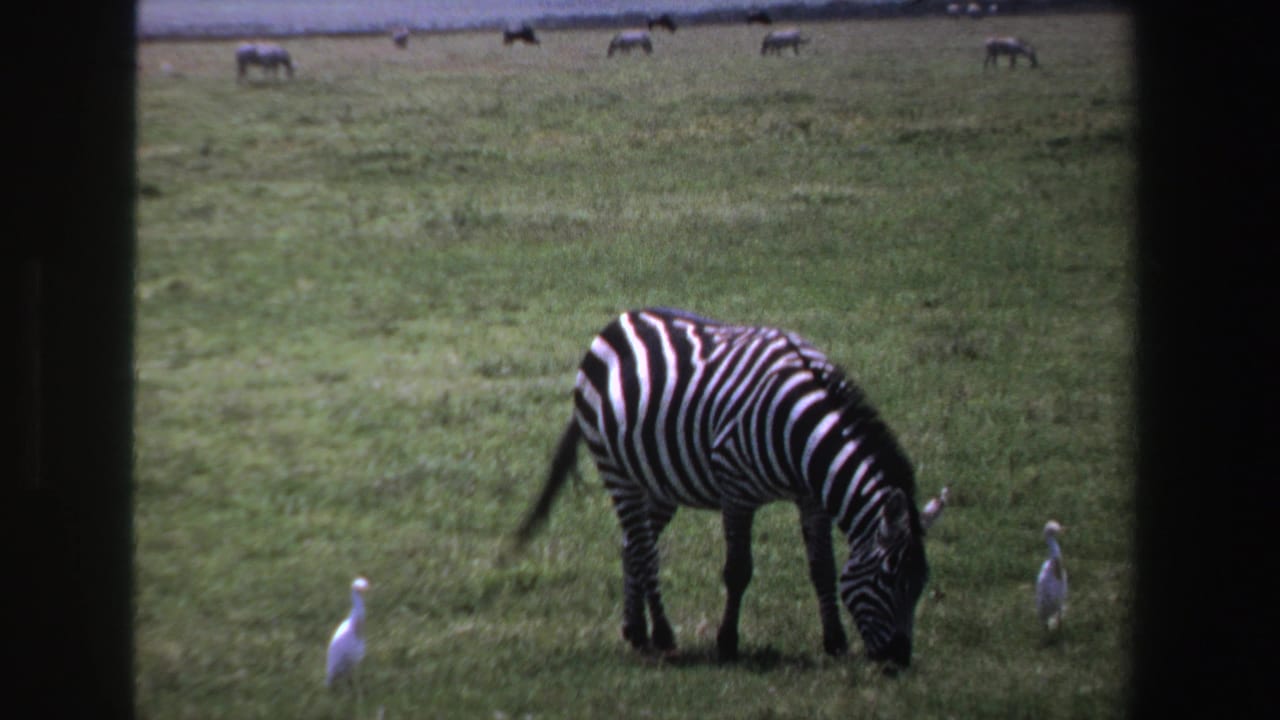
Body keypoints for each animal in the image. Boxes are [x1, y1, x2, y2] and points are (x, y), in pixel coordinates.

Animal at [515, 308, 929, 666]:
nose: (898, 661)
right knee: (646, 553)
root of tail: (618, 321)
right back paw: (662, 636)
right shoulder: (736, 490)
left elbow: (822, 568)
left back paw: (636, 632)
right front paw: (727, 642)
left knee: (632, 544)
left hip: (659, 481)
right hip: (618, 471)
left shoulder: (811, 498)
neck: (801, 433)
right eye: (888, 578)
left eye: (922, 583)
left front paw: (835, 642)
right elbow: (738, 570)